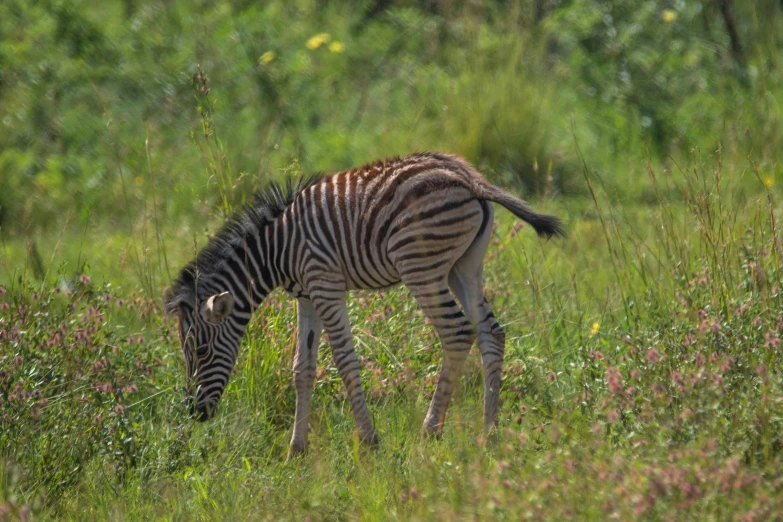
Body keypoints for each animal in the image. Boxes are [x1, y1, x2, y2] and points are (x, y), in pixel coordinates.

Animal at [164, 150, 564, 450]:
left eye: (199, 351)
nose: (194, 413)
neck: (276, 249)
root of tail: (469, 177)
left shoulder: (325, 284)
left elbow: (344, 361)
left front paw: (370, 440)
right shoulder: (306, 296)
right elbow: (302, 368)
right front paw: (297, 449)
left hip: (421, 267)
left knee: (457, 333)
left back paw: (430, 430)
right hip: (464, 267)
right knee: (491, 334)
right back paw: (489, 432)